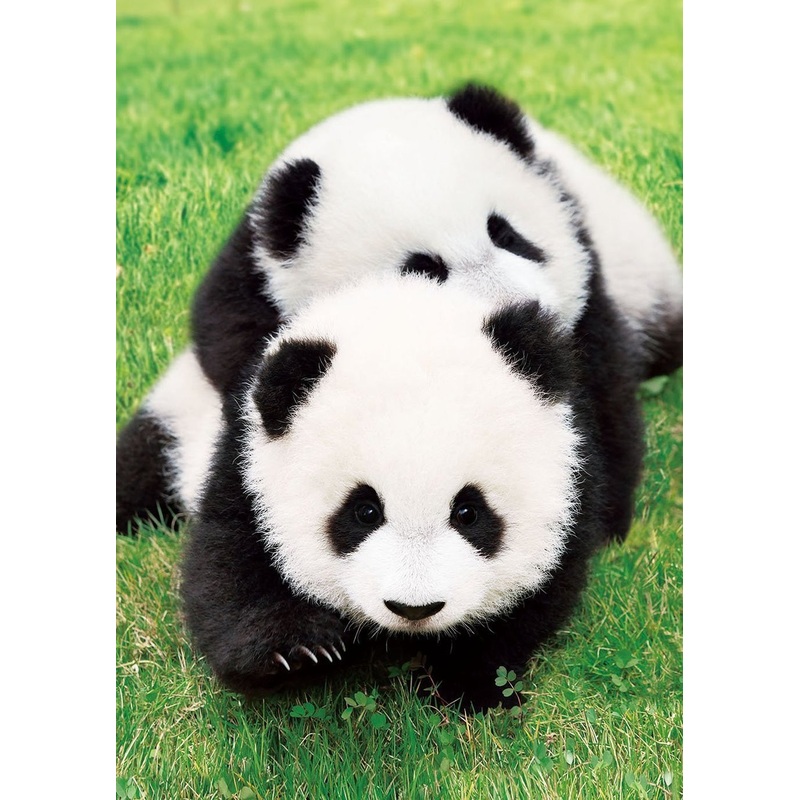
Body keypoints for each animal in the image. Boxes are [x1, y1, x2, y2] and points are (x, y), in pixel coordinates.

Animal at [180, 273, 644, 711]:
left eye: (468, 512)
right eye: (364, 511)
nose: (414, 609)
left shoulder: (572, 475)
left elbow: (536, 600)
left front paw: (467, 684)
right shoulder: (246, 462)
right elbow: (228, 569)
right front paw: (296, 651)